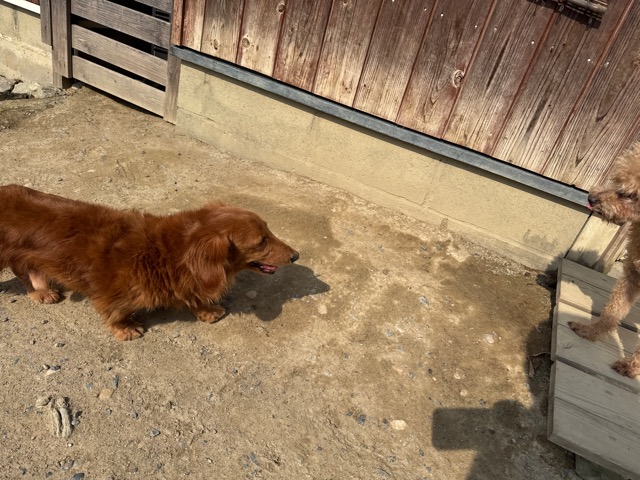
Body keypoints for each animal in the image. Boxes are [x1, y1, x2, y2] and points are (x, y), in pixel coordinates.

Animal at [0, 185, 299, 340]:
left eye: (269, 230)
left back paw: (40, 291)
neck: (169, 252)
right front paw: (125, 328)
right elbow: (116, 311)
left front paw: (206, 310)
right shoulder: (112, 292)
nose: (296, 255)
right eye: (261, 241)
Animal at [569, 142, 640, 377]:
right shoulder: (632, 276)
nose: (591, 199)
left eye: (632, 195)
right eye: (617, 181)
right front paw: (590, 331)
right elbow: (612, 311)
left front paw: (632, 367)